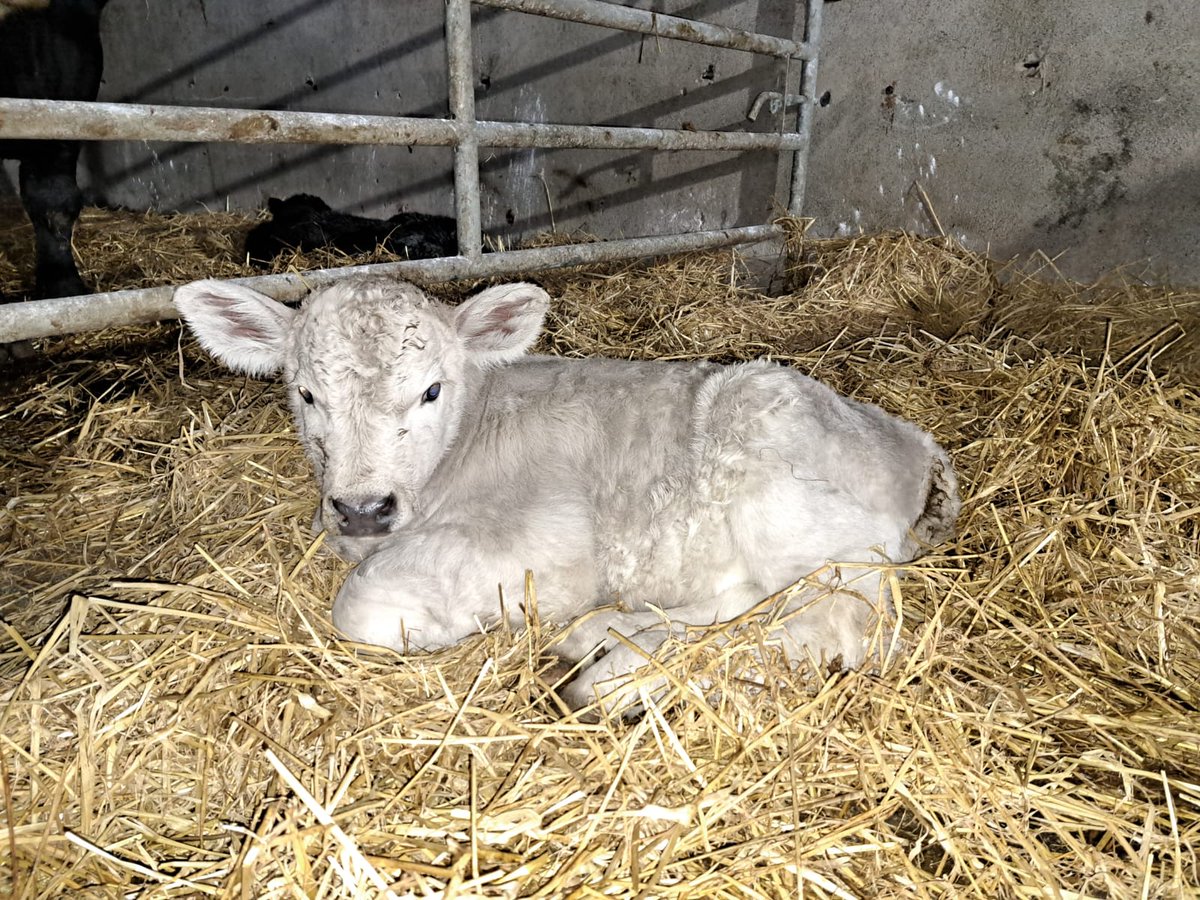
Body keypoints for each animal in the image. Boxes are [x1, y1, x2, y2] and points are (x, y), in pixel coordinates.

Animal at [174, 276, 959, 713]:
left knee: (835, 617)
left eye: (430, 390)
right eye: (307, 394)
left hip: (780, 473)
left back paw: (617, 681)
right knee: (747, 600)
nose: (363, 509)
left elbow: (362, 604)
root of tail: (915, 444)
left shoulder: (553, 544)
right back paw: (602, 643)